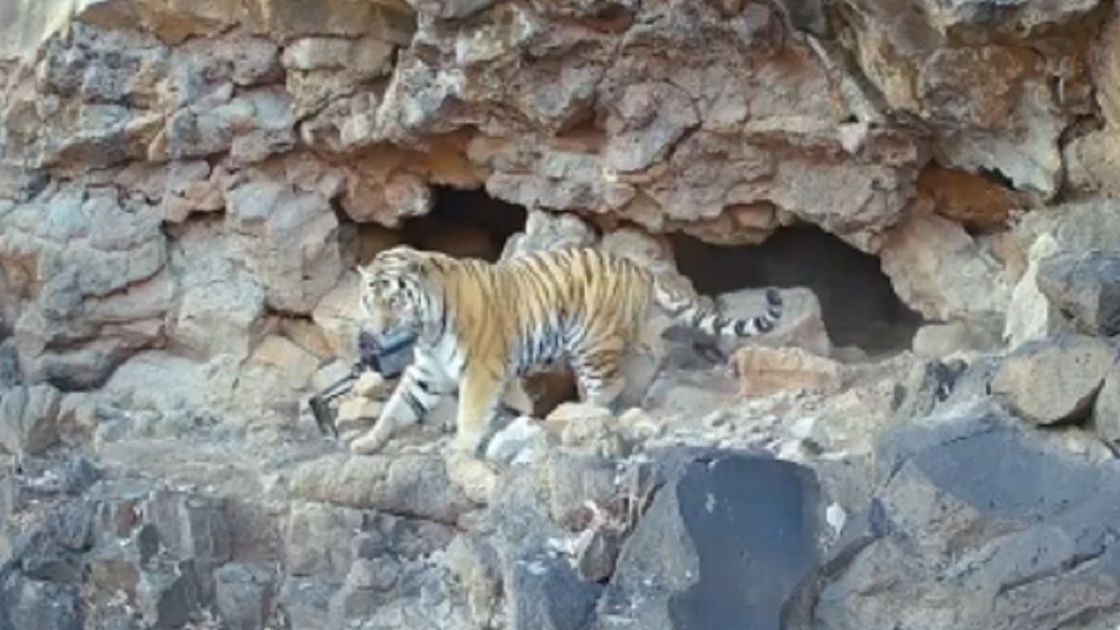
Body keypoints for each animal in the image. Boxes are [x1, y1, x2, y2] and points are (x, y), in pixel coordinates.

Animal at [350, 244, 784, 456]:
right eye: (370, 302)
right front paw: (368, 440)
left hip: (591, 343)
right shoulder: (426, 372)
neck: (426, 330)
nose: (377, 332)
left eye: (395, 301)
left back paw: (580, 415)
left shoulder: (481, 370)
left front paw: (460, 448)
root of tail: (640, 269)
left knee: (610, 386)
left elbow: (470, 413)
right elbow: (395, 407)